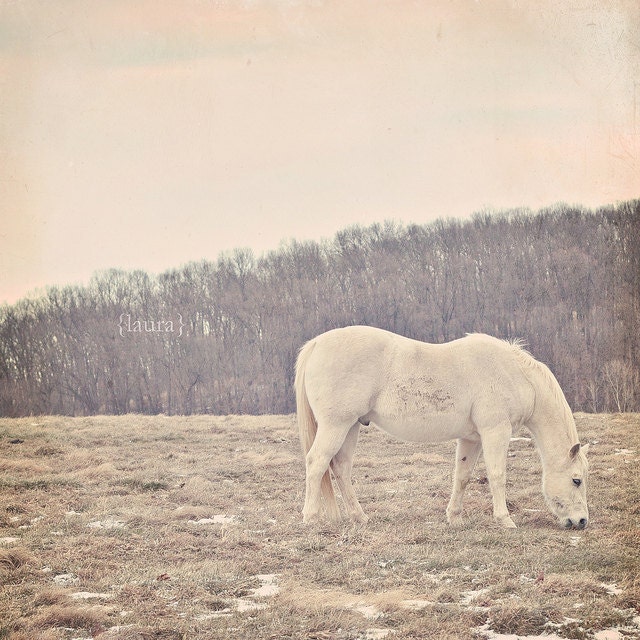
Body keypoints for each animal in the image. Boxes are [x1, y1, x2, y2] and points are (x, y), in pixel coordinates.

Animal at [295, 326, 589, 529]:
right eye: (576, 480)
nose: (582, 521)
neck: (515, 374)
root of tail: (316, 344)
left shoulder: (472, 438)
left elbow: (463, 476)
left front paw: (454, 518)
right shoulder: (496, 432)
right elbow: (497, 475)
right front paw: (505, 520)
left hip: (351, 427)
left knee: (341, 468)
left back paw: (360, 517)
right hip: (336, 426)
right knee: (317, 462)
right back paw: (310, 518)